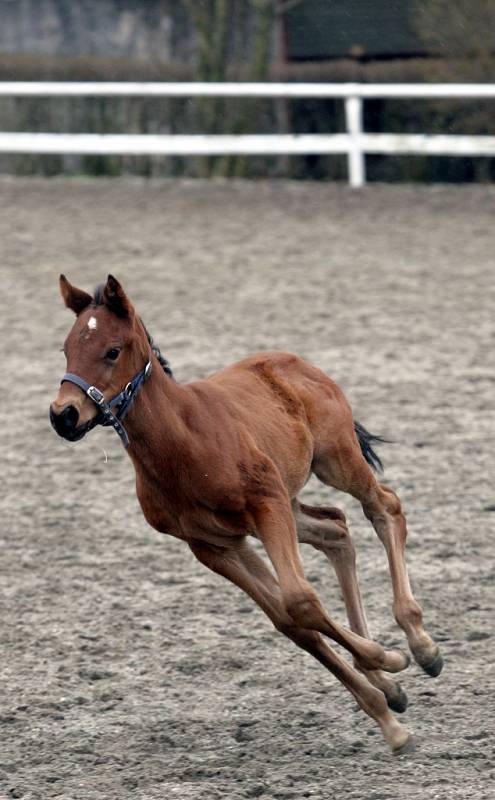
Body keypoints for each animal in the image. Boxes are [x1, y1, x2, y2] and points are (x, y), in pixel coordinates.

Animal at [50, 276, 444, 756]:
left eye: (111, 350)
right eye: (67, 350)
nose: (63, 415)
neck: (183, 442)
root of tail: (297, 362)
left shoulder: (265, 503)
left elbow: (301, 601)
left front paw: (391, 659)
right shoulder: (212, 545)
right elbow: (291, 622)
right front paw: (386, 703)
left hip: (332, 462)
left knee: (383, 507)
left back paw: (421, 645)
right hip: (288, 504)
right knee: (335, 528)